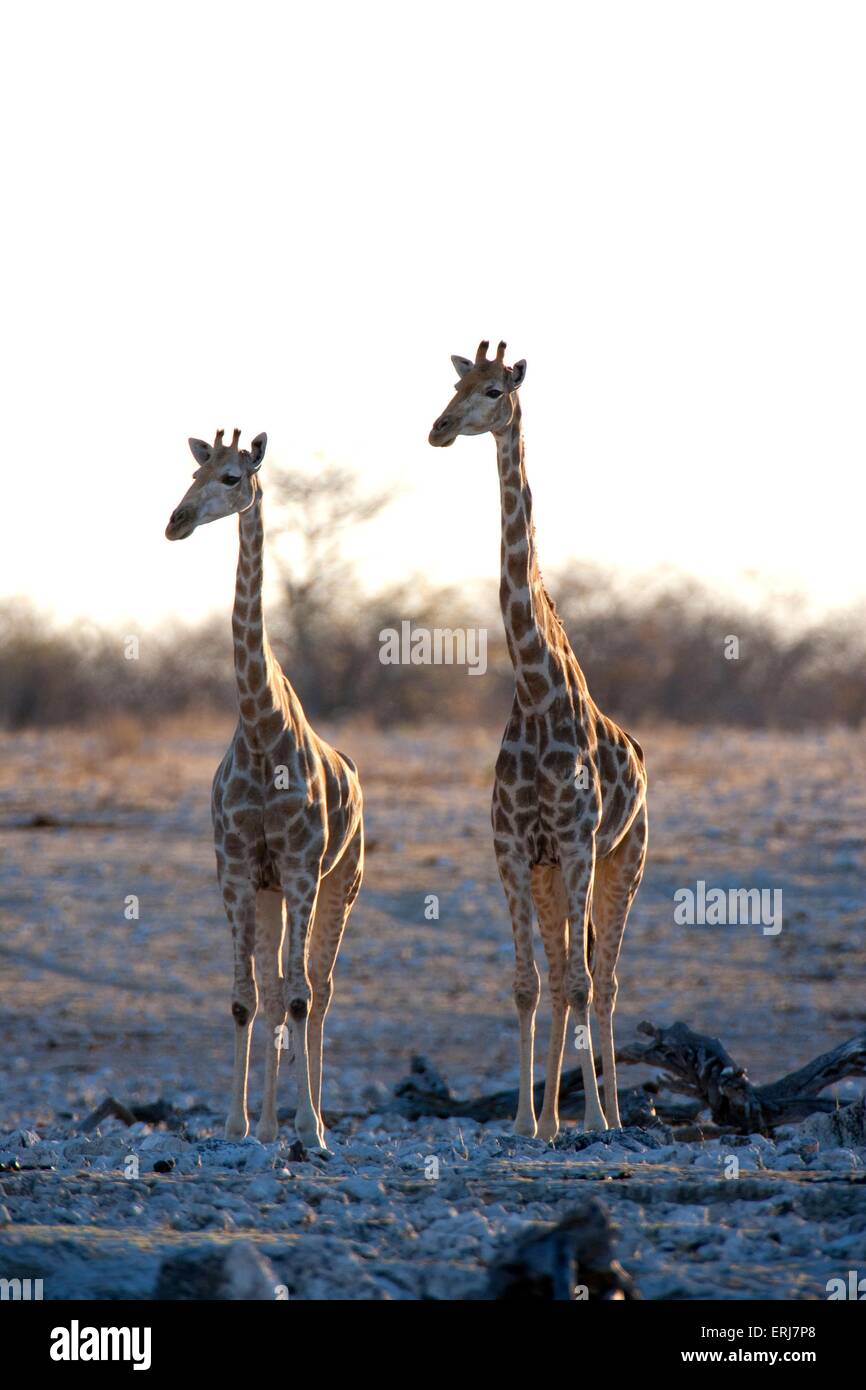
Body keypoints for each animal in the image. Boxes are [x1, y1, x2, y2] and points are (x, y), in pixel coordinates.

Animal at [165, 429, 364, 1151]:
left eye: (231, 477)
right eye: (192, 473)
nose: (176, 521)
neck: (260, 724)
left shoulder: (303, 866)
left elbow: (302, 994)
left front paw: (311, 1127)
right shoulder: (237, 867)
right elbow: (246, 997)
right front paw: (239, 1125)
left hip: (342, 879)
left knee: (320, 989)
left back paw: (315, 1121)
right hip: (273, 890)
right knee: (279, 989)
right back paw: (276, 1123)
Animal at [429, 342, 648, 1140]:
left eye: (494, 389)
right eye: (453, 383)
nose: (438, 428)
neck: (533, 687)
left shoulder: (580, 842)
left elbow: (579, 982)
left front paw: (585, 1119)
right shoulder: (514, 846)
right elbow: (527, 983)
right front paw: (526, 1120)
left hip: (623, 856)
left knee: (602, 979)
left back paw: (606, 1116)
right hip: (556, 872)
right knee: (560, 975)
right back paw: (556, 1116)